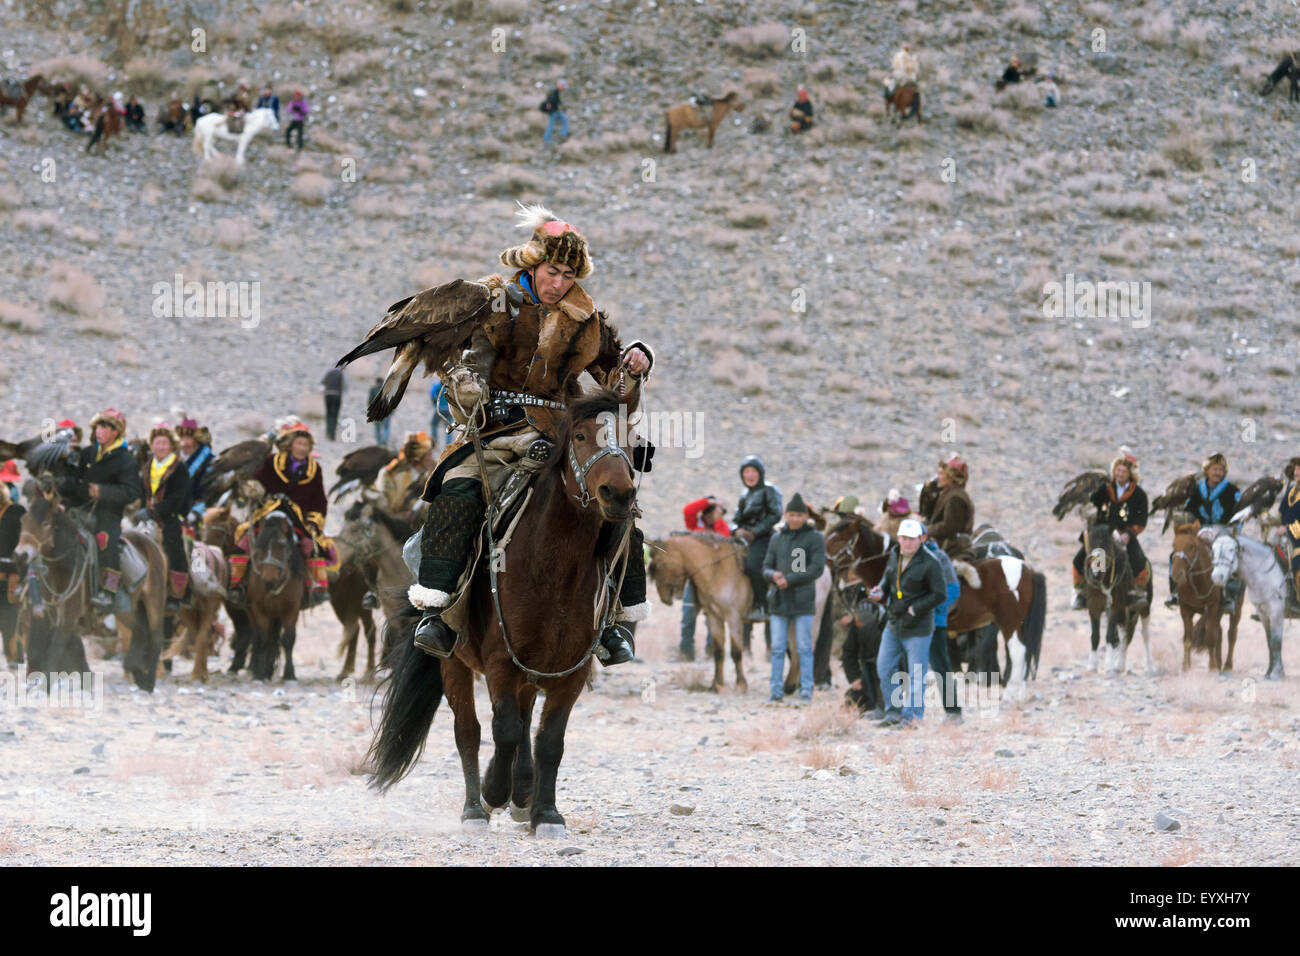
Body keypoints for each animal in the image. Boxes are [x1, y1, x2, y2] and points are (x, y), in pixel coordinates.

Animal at [371, 390, 639, 837]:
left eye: (632, 439)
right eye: (581, 435)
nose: (618, 494)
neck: (554, 571)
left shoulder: (572, 671)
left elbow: (549, 740)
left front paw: (545, 813)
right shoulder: (500, 662)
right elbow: (505, 730)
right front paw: (494, 791)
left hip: (530, 671)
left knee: (525, 720)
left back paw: (523, 794)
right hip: (455, 662)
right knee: (469, 730)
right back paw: (476, 808)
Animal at [1175, 522, 1232, 671]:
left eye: (1191, 546)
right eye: (1173, 545)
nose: (1177, 574)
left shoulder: (1212, 608)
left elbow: (1210, 638)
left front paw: (1211, 668)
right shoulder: (1185, 608)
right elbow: (1188, 639)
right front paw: (1186, 667)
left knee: (1231, 634)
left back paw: (1227, 666)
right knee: (1220, 632)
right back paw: (1219, 662)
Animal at [1206, 530, 1289, 681]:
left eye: (1231, 549)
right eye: (1213, 550)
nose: (1217, 577)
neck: (1265, 573)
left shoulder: (1276, 612)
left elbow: (1276, 641)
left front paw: (1277, 673)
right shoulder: (1263, 614)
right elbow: (1269, 641)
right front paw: (1269, 672)